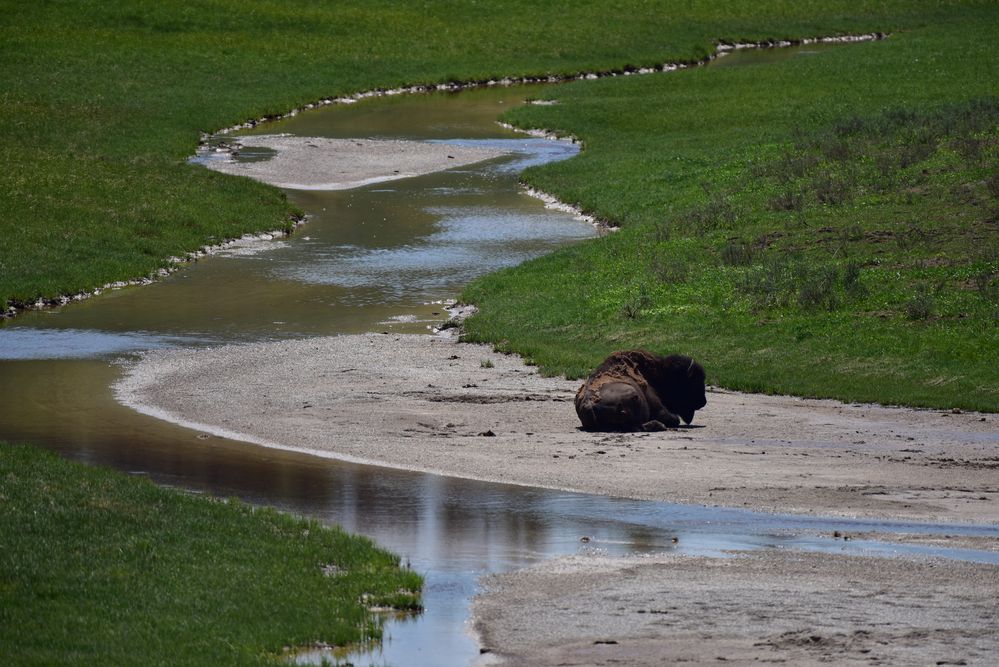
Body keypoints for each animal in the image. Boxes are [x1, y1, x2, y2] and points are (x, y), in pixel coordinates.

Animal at [576, 350, 708, 434]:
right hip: (633, 394)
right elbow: (671, 417)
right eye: (693, 382)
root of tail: (589, 405)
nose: (703, 402)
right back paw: (660, 425)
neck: (661, 372)